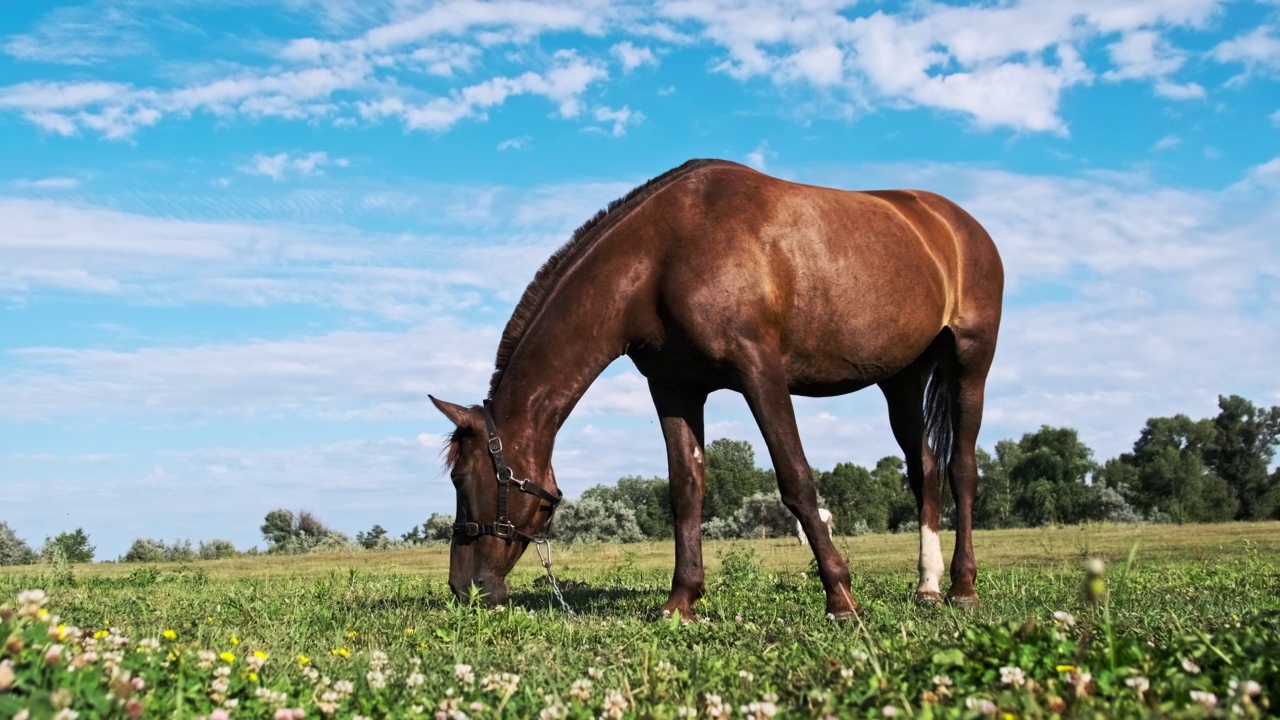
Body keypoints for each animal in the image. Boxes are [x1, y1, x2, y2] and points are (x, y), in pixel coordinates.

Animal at [435, 158, 1003, 617]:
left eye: (462, 479)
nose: (464, 588)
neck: (661, 257)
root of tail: (956, 225)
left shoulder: (760, 372)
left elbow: (796, 481)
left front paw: (840, 597)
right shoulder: (674, 388)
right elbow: (686, 491)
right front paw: (681, 600)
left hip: (969, 364)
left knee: (961, 471)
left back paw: (962, 588)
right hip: (901, 379)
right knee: (925, 471)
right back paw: (928, 587)